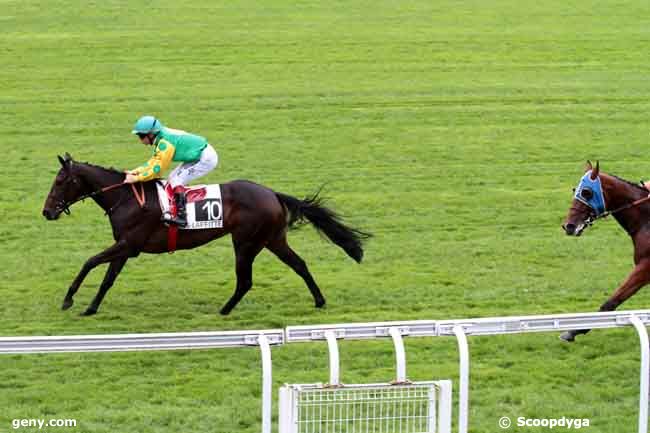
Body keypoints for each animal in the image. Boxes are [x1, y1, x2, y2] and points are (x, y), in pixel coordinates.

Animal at [41, 154, 370, 316]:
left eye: (60, 181)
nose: (46, 212)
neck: (127, 198)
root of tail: (272, 194)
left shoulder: (128, 243)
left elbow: (88, 262)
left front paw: (69, 300)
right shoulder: (126, 247)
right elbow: (108, 278)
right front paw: (91, 307)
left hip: (246, 242)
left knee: (245, 281)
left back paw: (224, 310)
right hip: (273, 239)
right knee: (300, 265)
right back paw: (319, 301)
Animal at [560, 161, 648, 340]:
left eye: (586, 192)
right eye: (575, 189)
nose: (569, 226)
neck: (647, 220)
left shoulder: (645, 266)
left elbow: (611, 302)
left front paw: (575, 330)